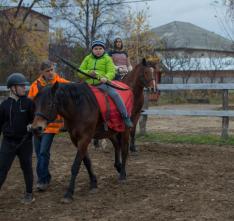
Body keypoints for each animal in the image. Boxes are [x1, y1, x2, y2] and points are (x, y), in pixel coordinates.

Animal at [30, 58, 156, 202]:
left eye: (50, 104)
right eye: (35, 103)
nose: (36, 128)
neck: (79, 107)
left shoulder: (85, 138)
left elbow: (76, 165)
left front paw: (69, 193)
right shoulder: (76, 139)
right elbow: (86, 161)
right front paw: (93, 182)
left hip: (125, 128)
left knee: (124, 148)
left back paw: (122, 174)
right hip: (111, 130)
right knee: (117, 145)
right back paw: (118, 167)